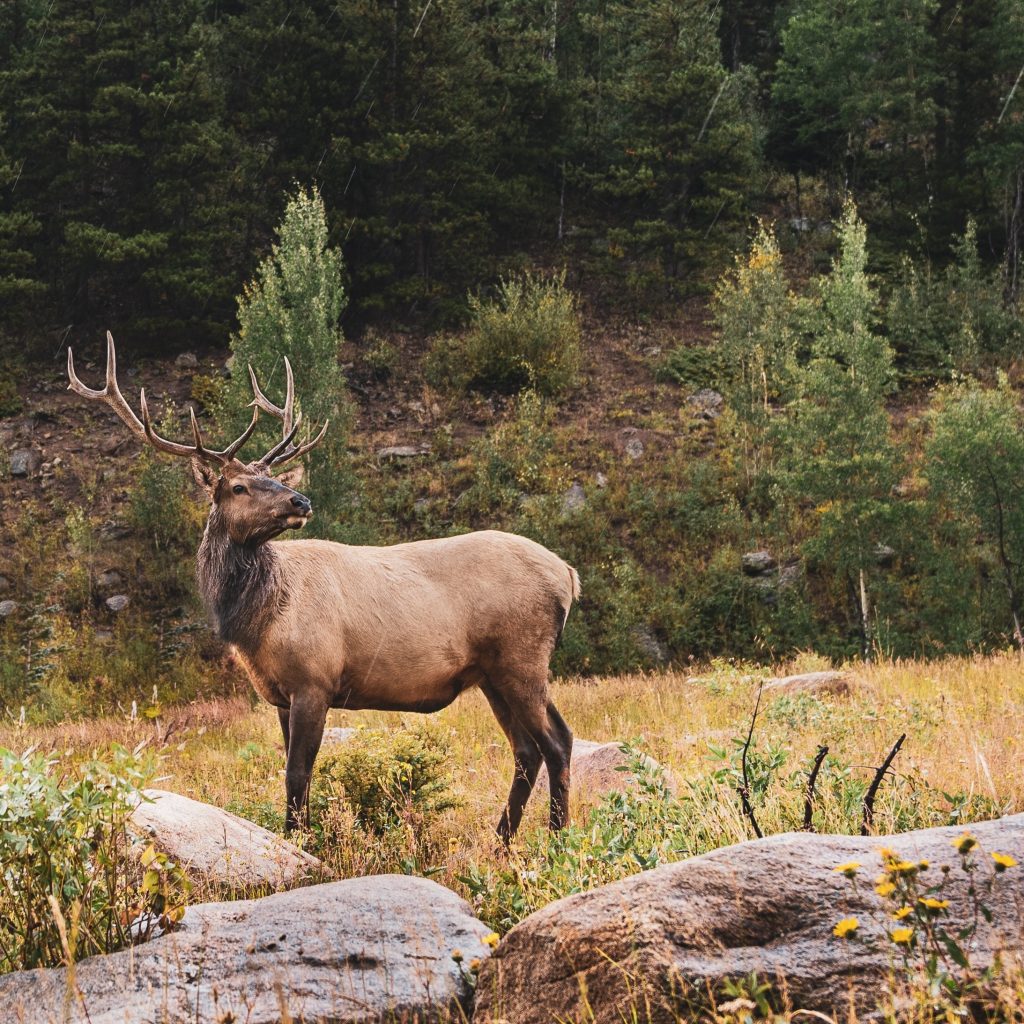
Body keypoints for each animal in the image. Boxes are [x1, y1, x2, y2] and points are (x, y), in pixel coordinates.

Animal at [68, 333, 578, 839]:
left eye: (271, 477)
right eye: (238, 486)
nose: (301, 500)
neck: (257, 621)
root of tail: (567, 575)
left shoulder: (314, 679)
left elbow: (297, 774)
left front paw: (299, 841)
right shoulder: (280, 693)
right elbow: (300, 774)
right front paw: (303, 835)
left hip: (522, 655)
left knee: (557, 741)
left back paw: (557, 836)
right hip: (492, 673)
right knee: (526, 750)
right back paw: (502, 840)